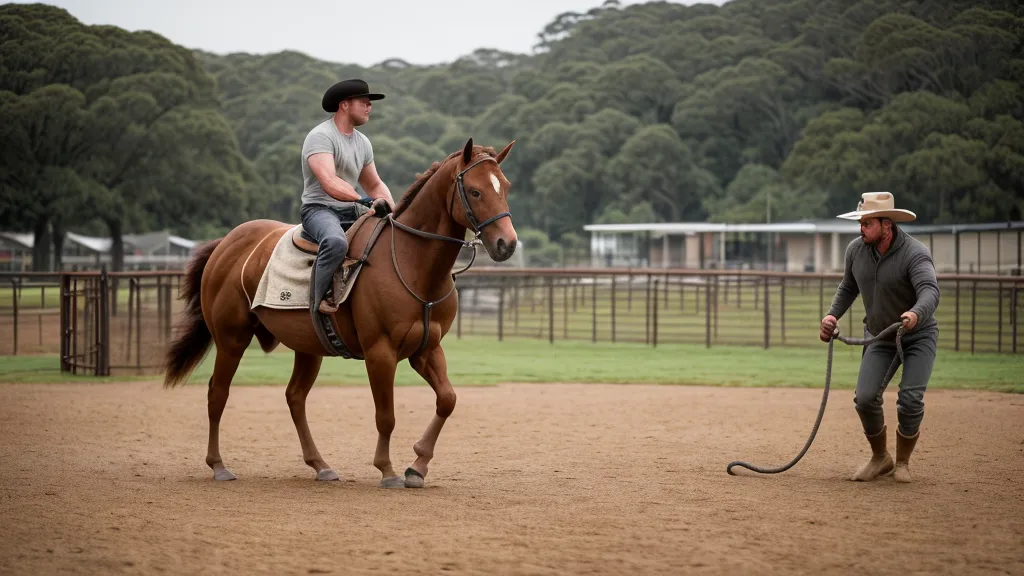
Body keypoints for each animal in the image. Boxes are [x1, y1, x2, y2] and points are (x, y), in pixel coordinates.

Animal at [162, 138, 518, 489]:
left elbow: (447, 399)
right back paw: (219, 465)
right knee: (217, 394)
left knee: (294, 397)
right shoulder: (380, 352)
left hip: (307, 348)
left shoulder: (427, 349)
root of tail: (226, 243)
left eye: (505, 187)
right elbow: (386, 416)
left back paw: (320, 465)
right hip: (231, 339)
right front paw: (387, 470)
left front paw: (417, 466)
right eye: (475, 191)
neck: (412, 263)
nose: (508, 243)